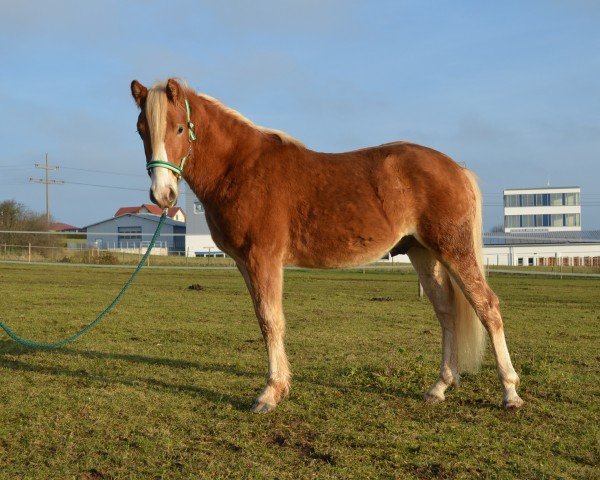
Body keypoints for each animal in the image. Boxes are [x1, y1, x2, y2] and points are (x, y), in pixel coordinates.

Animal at [130, 79, 520, 412]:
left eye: (179, 128)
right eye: (141, 130)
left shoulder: (263, 259)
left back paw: (510, 392)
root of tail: (456, 169)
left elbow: (271, 320)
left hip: (453, 250)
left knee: (487, 307)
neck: (241, 168)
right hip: (423, 253)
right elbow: (263, 319)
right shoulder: (245, 263)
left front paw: (270, 393)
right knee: (447, 313)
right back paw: (439, 387)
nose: (162, 195)